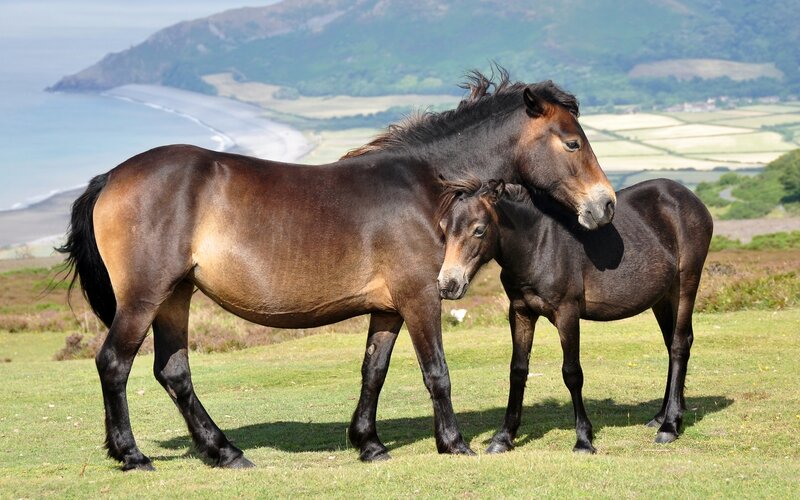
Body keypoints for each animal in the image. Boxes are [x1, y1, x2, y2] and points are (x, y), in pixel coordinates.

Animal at [59, 70, 616, 470]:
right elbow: (436, 372)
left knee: (173, 372)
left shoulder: (389, 307)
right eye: (572, 143)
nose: (605, 205)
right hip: (145, 296)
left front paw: (369, 444)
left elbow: (374, 371)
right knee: (114, 364)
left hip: (176, 295)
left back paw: (225, 452)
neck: (426, 187)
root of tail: (112, 177)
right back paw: (132, 455)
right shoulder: (421, 296)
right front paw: (454, 443)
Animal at [435, 178, 712, 453]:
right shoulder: (521, 312)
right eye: (443, 228)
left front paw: (583, 439)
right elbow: (518, 370)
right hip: (662, 298)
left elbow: (572, 373)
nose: (448, 284)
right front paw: (503, 438)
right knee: (671, 345)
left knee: (679, 345)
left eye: (479, 230)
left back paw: (670, 426)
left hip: (685, 284)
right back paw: (661, 416)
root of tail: (689, 197)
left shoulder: (567, 313)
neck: (539, 244)